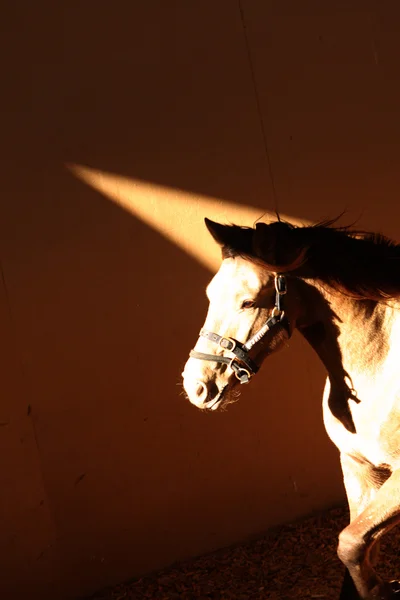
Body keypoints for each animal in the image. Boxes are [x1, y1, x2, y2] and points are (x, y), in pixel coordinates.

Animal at [184, 218, 400, 600]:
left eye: (248, 302)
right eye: (210, 295)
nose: (196, 385)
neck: (380, 366)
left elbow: (351, 543)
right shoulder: (358, 467)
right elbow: (360, 547)